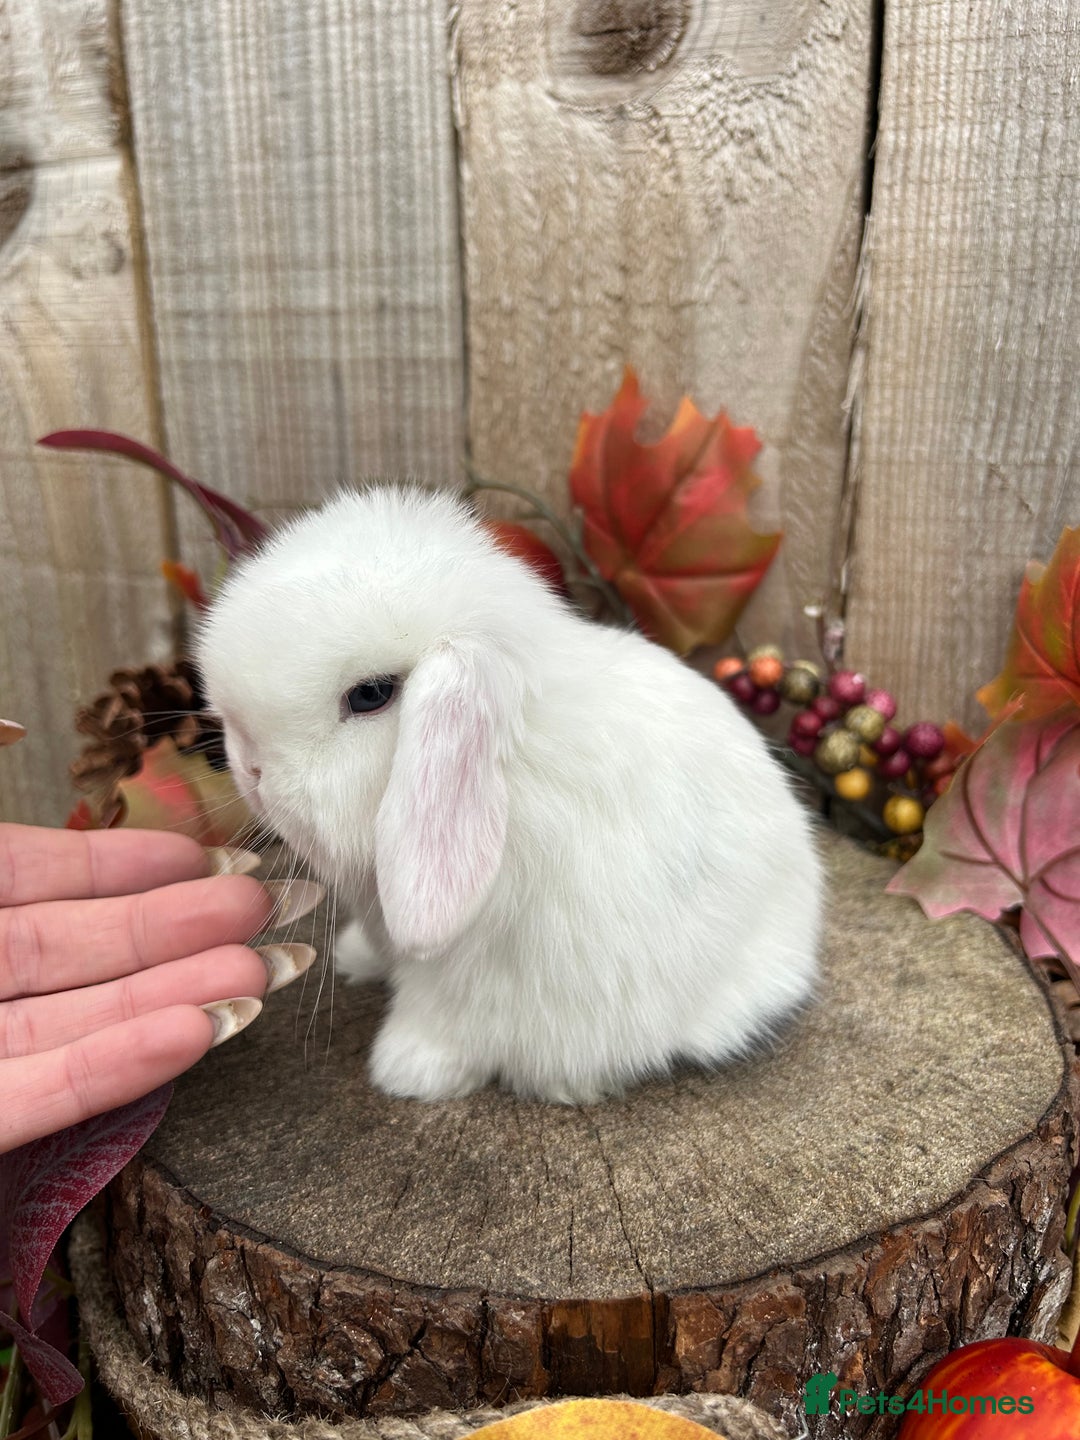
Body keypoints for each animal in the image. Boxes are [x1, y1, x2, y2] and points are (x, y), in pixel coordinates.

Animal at [196, 483, 823, 1104]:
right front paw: (355, 958)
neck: (513, 776)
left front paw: (408, 1069)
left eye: (371, 694)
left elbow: (445, 1020)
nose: (250, 769)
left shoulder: (475, 974)